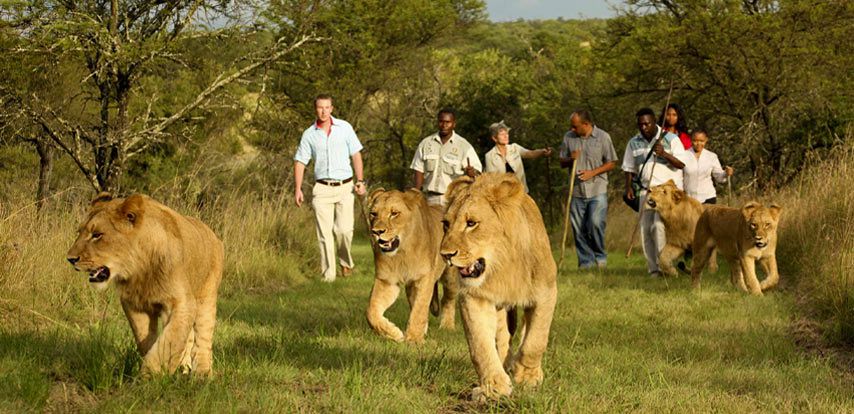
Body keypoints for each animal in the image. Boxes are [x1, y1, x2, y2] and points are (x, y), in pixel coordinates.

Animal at [66, 192, 224, 376]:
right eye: (79, 232)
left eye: (97, 234)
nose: (70, 259)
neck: (140, 270)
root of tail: (213, 234)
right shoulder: (135, 304)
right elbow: (147, 340)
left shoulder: (182, 303)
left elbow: (169, 340)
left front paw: (151, 374)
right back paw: (184, 368)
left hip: (206, 298)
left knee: (203, 338)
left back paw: (203, 373)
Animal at [368, 188, 462, 342]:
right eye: (373, 214)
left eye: (394, 213)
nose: (377, 231)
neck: (402, 253)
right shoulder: (386, 281)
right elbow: (371, 311)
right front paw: (393, 333)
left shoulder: (424, 278)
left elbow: (420, 308)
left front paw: (414, 339)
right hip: (410, 286)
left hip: (450, 278)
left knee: (447, 299)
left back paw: (447, 326)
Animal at [438, 172, 560, 402]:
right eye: (446, 224)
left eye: (471, 223)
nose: (446, 255)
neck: (502, 267)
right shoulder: (474, 297)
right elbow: (480, 345)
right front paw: (494, 386)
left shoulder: (546, 292)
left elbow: (535, 340)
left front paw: (527, 376)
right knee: (502, 339)